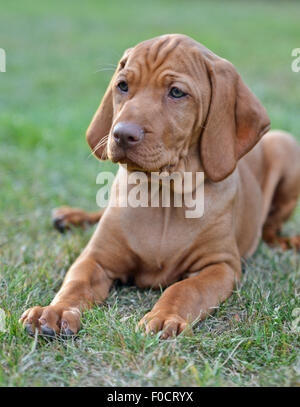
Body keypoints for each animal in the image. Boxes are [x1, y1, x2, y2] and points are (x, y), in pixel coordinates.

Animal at [20, 35, 300, 340]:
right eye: (123, 86)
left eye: (176, 92)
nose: (121, 134)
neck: (164, 195)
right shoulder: (95, 258)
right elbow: (75, 284)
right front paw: (55, 311)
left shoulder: (220, 266)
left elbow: (186, 288)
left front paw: (165, 316)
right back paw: (71, 217)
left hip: (287, 145)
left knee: (270, 229)